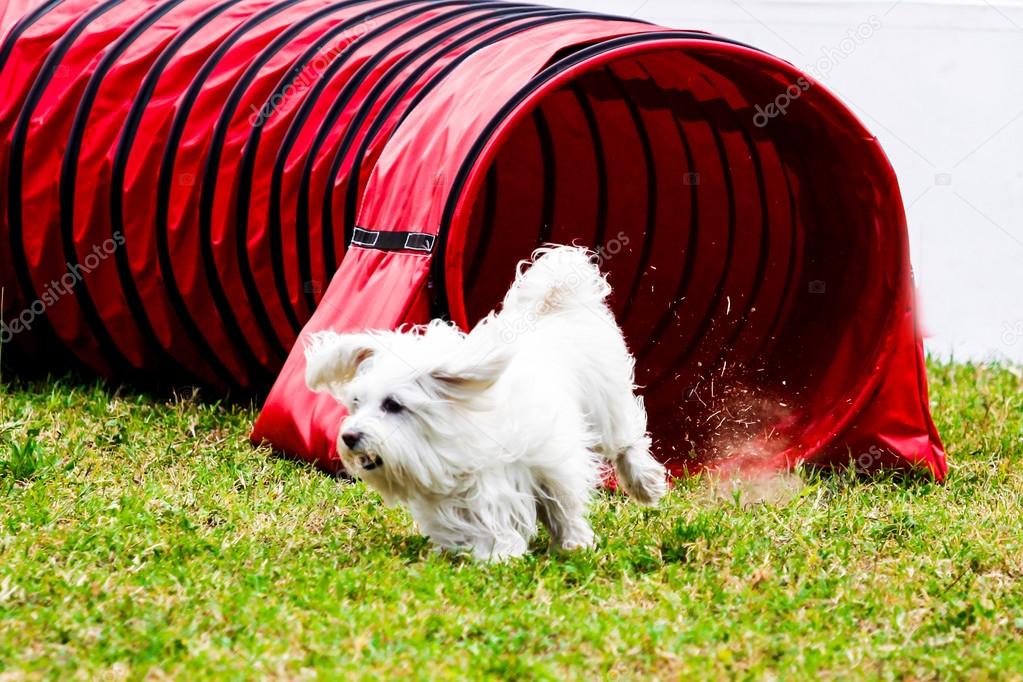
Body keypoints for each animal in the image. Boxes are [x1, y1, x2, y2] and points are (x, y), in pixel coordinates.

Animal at [306, 245, 666, 560]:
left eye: (393, 405)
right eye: (356, 402)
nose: (349, 436)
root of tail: (554, 303)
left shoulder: (552, 462)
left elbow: (562, 507)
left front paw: (572, 544)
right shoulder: (463, 491)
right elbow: (478, 521)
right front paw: (492, 551)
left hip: (606, 404)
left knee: (626, 441)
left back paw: (645, 484)